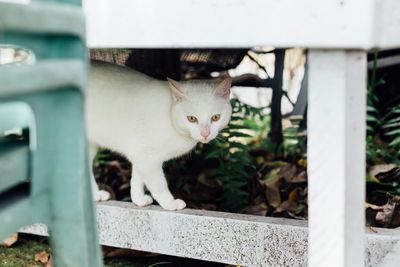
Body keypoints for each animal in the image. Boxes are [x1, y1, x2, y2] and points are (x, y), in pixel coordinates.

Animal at [86, 61, 233, 211]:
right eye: (191, 119)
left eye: (216, 117)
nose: (205, 134)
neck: (169, 116)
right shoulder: (147, 159)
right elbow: (159, 185)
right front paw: (169, 203)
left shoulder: (139, 154)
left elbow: (137, 179)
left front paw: (138, 199)